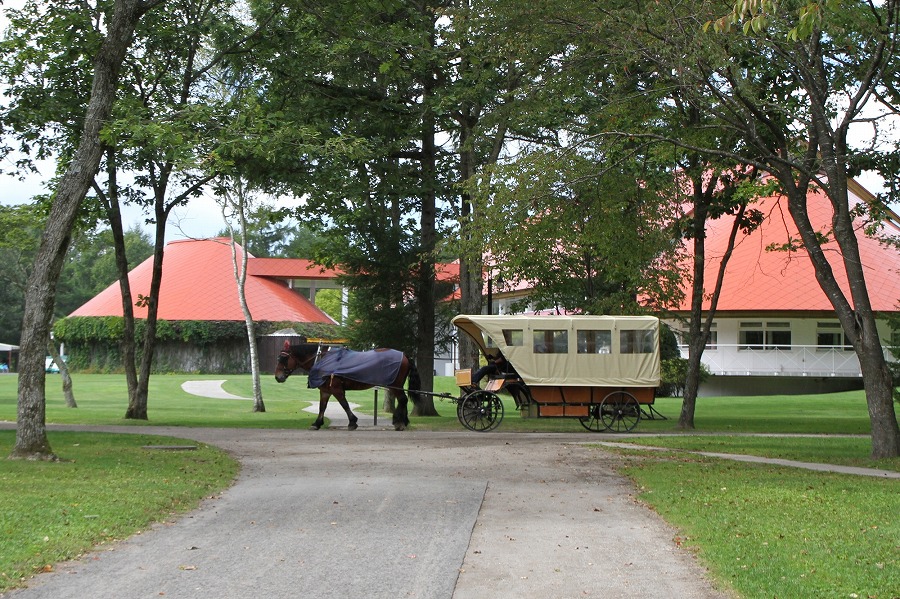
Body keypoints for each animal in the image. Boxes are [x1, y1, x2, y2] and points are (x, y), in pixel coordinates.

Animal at [274, 340, 422, 434]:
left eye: (283, 358)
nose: (277, 377)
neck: (322, 360)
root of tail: (404, 355)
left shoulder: (336, 389)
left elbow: (344, 404)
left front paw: (352, 422)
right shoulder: (325, 391)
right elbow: (322, 407)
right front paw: (317, 423)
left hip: (394, 385)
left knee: (402, 400)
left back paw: (399, 422)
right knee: (403, 400)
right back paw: (403, 421)